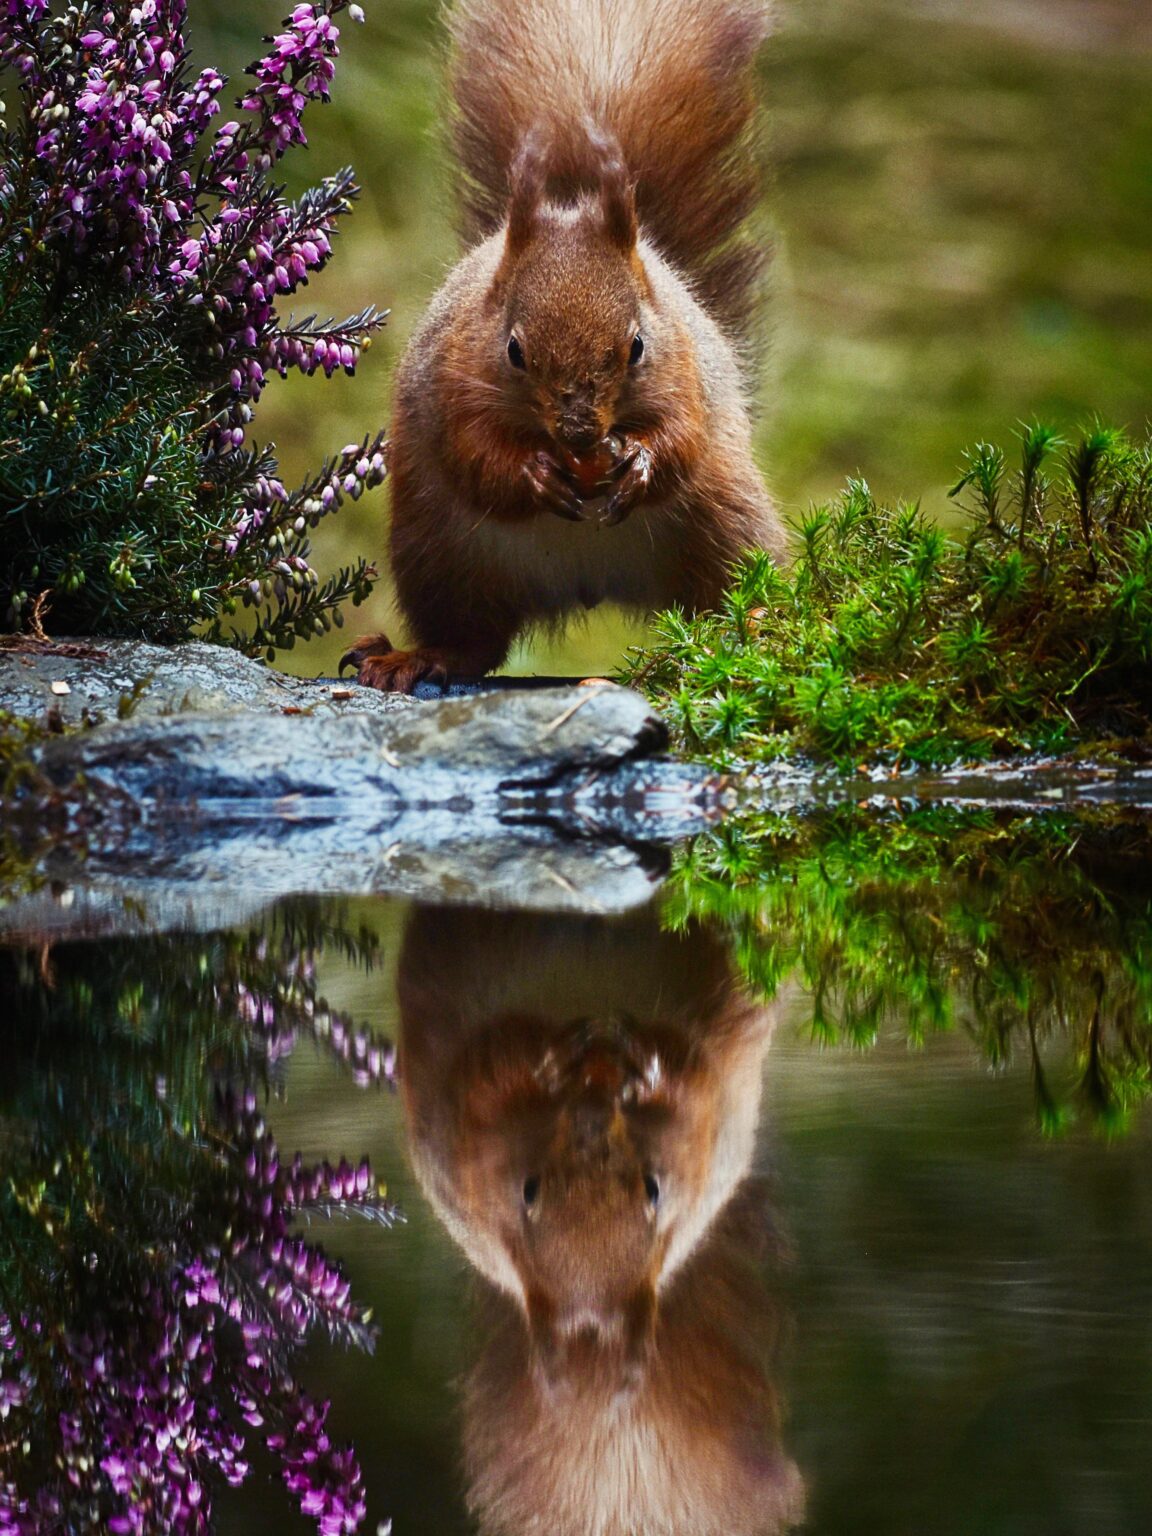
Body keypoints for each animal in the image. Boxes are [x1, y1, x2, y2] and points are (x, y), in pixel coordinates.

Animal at [345, 0, 785, 692]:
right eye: (514, 351)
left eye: (637, 346)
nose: (579, 434)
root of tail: (591, 583)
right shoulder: (449, 383)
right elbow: (474, 457)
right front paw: (533, 475)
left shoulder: (684, 372)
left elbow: (682, 439)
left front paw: (641, 464)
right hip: (440, 555)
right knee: (474, 641)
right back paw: (416, 657)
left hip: (724, 523)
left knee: (723, 597)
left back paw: (756, 625)